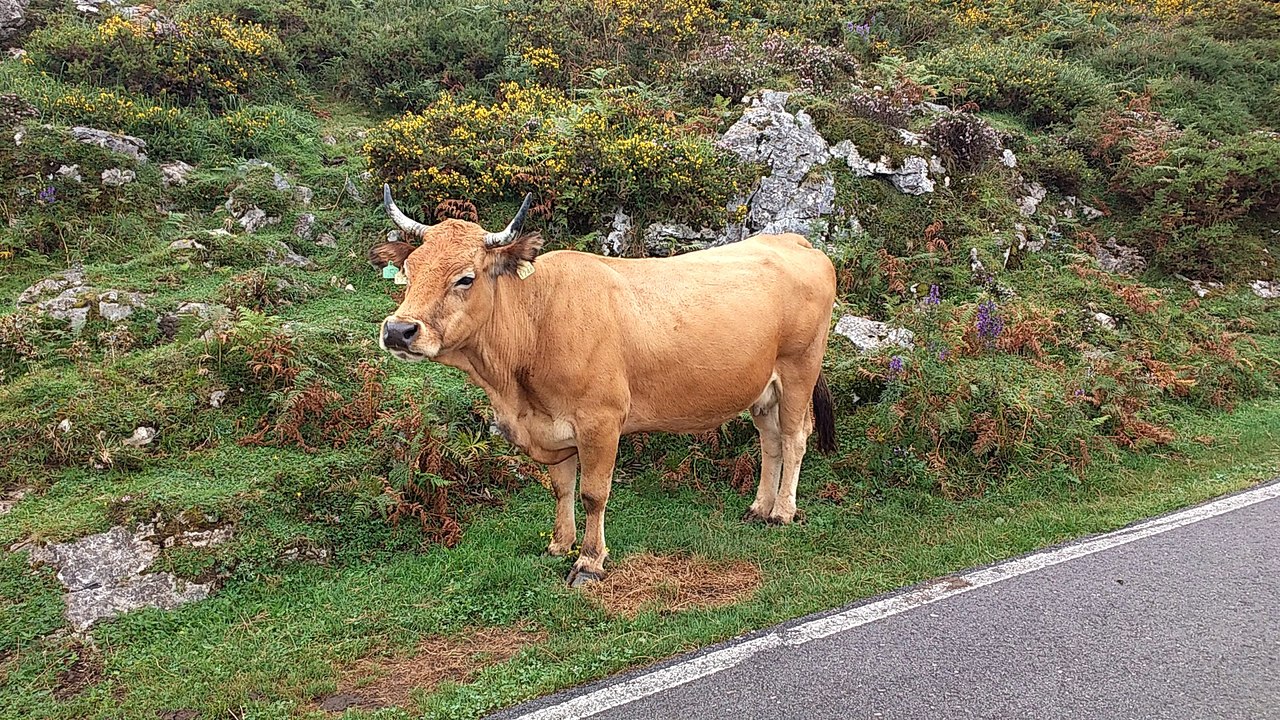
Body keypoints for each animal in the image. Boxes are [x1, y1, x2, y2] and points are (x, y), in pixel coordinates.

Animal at [372, 186, 838, 586]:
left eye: (465, 278)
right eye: (409, 270)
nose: (398, 330)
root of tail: (796, 242)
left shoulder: (600, 422)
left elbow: (594, 493)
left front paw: (589, 561)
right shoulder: (553, 427)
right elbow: (561, 487)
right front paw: (559, 544)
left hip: (799, 370)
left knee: (795, 437)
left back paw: (782, 511)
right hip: (762, 388)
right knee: (770, 441)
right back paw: (759, 507)